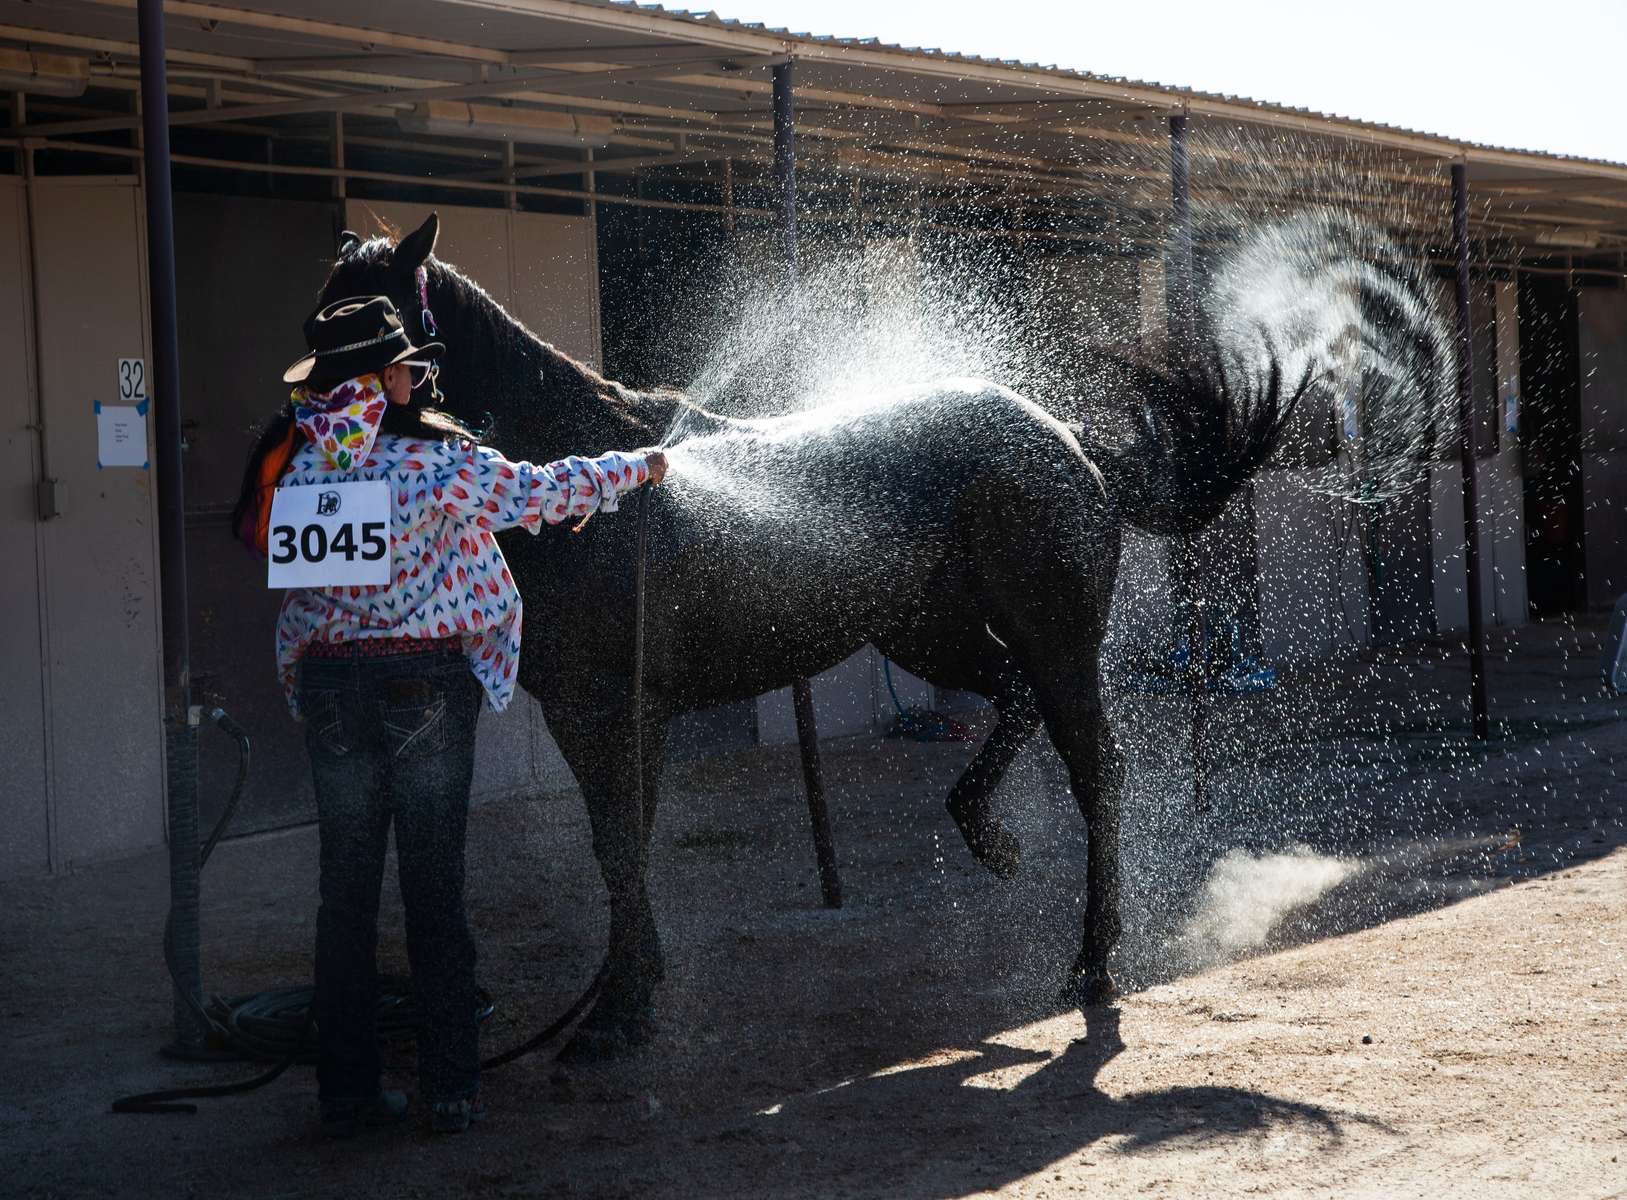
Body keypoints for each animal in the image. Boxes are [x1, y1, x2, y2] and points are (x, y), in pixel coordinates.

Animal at [314, 214, 1308, 1053]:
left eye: (382, 319)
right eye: (319, 319)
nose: (324, 439)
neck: (578, 488)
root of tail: (1064, 440)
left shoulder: (613, 713)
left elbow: (621, 845)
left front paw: (619, 1017)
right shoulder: (593, 717)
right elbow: (616, 845)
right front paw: (620, 1001)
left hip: (1055, 643)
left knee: (1093, 771)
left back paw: (1093, 966)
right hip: (931, 637)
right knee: (1012, 708)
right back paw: (991, 841)